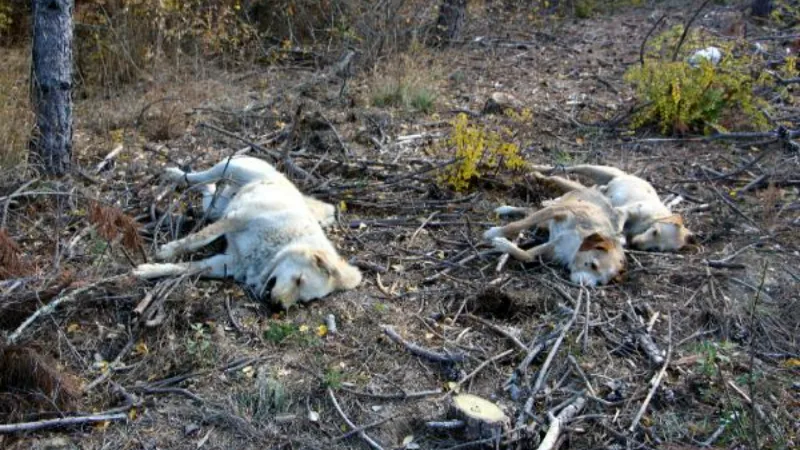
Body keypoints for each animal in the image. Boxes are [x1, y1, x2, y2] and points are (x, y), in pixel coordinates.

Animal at [135, 156, 362, 310]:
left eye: (302, 300)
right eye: (299, 280)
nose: (278, 307)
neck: (280, 246)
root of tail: (278, 173)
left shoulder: (227, 263)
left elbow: (185, 267)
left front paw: (148, 270)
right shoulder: (237, 218)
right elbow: (198, 240)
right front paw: (168, 251)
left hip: (215, 207)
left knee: (208, 189)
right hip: (230, 168)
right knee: (200, 177)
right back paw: (174, 173)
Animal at [484, 174, 628, 286]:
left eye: (600, 282)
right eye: (593, 265)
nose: (585, 285)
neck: (576, 245)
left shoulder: (554, 248)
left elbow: (526, 255)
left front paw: (504, 244)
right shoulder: (557, 211)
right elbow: (517, 225)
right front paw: (495, 232)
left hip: (545, 223)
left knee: (530, 211)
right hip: (549, 214)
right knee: (531, 212)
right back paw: (506, 209)